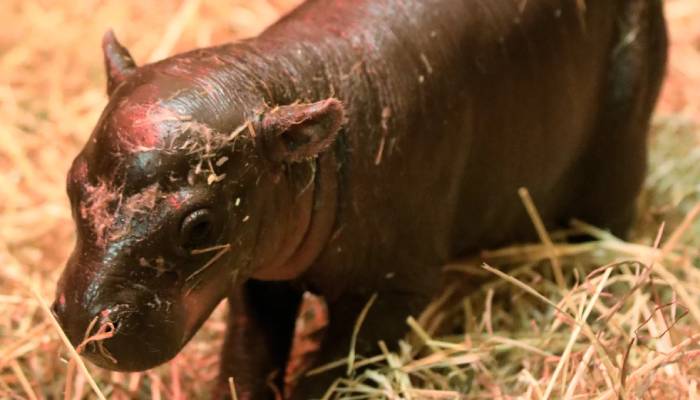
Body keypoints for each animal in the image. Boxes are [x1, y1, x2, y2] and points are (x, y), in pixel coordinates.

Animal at [50, 0, 668, 396]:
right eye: (73, 179)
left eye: (200, 224)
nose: (82, 318)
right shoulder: (259, 273)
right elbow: (247, 355)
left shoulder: (393, 289)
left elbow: (334, 370)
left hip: (621, 144)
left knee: (612, 218)